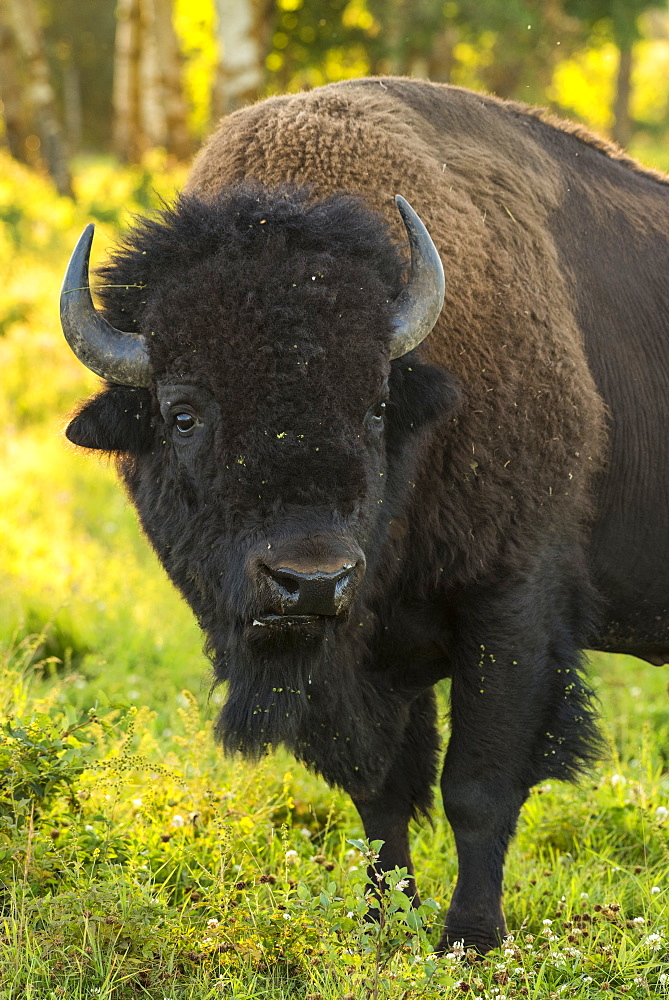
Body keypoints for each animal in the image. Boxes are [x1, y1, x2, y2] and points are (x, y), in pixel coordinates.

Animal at [60, 78, 664, 952]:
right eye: (182, 414)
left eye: (377, 404)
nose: (310, 581)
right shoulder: (357, 667)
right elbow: (379, 792)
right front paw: (382, 929)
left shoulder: (512, 606)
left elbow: (476, 785)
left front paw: (469, 941)